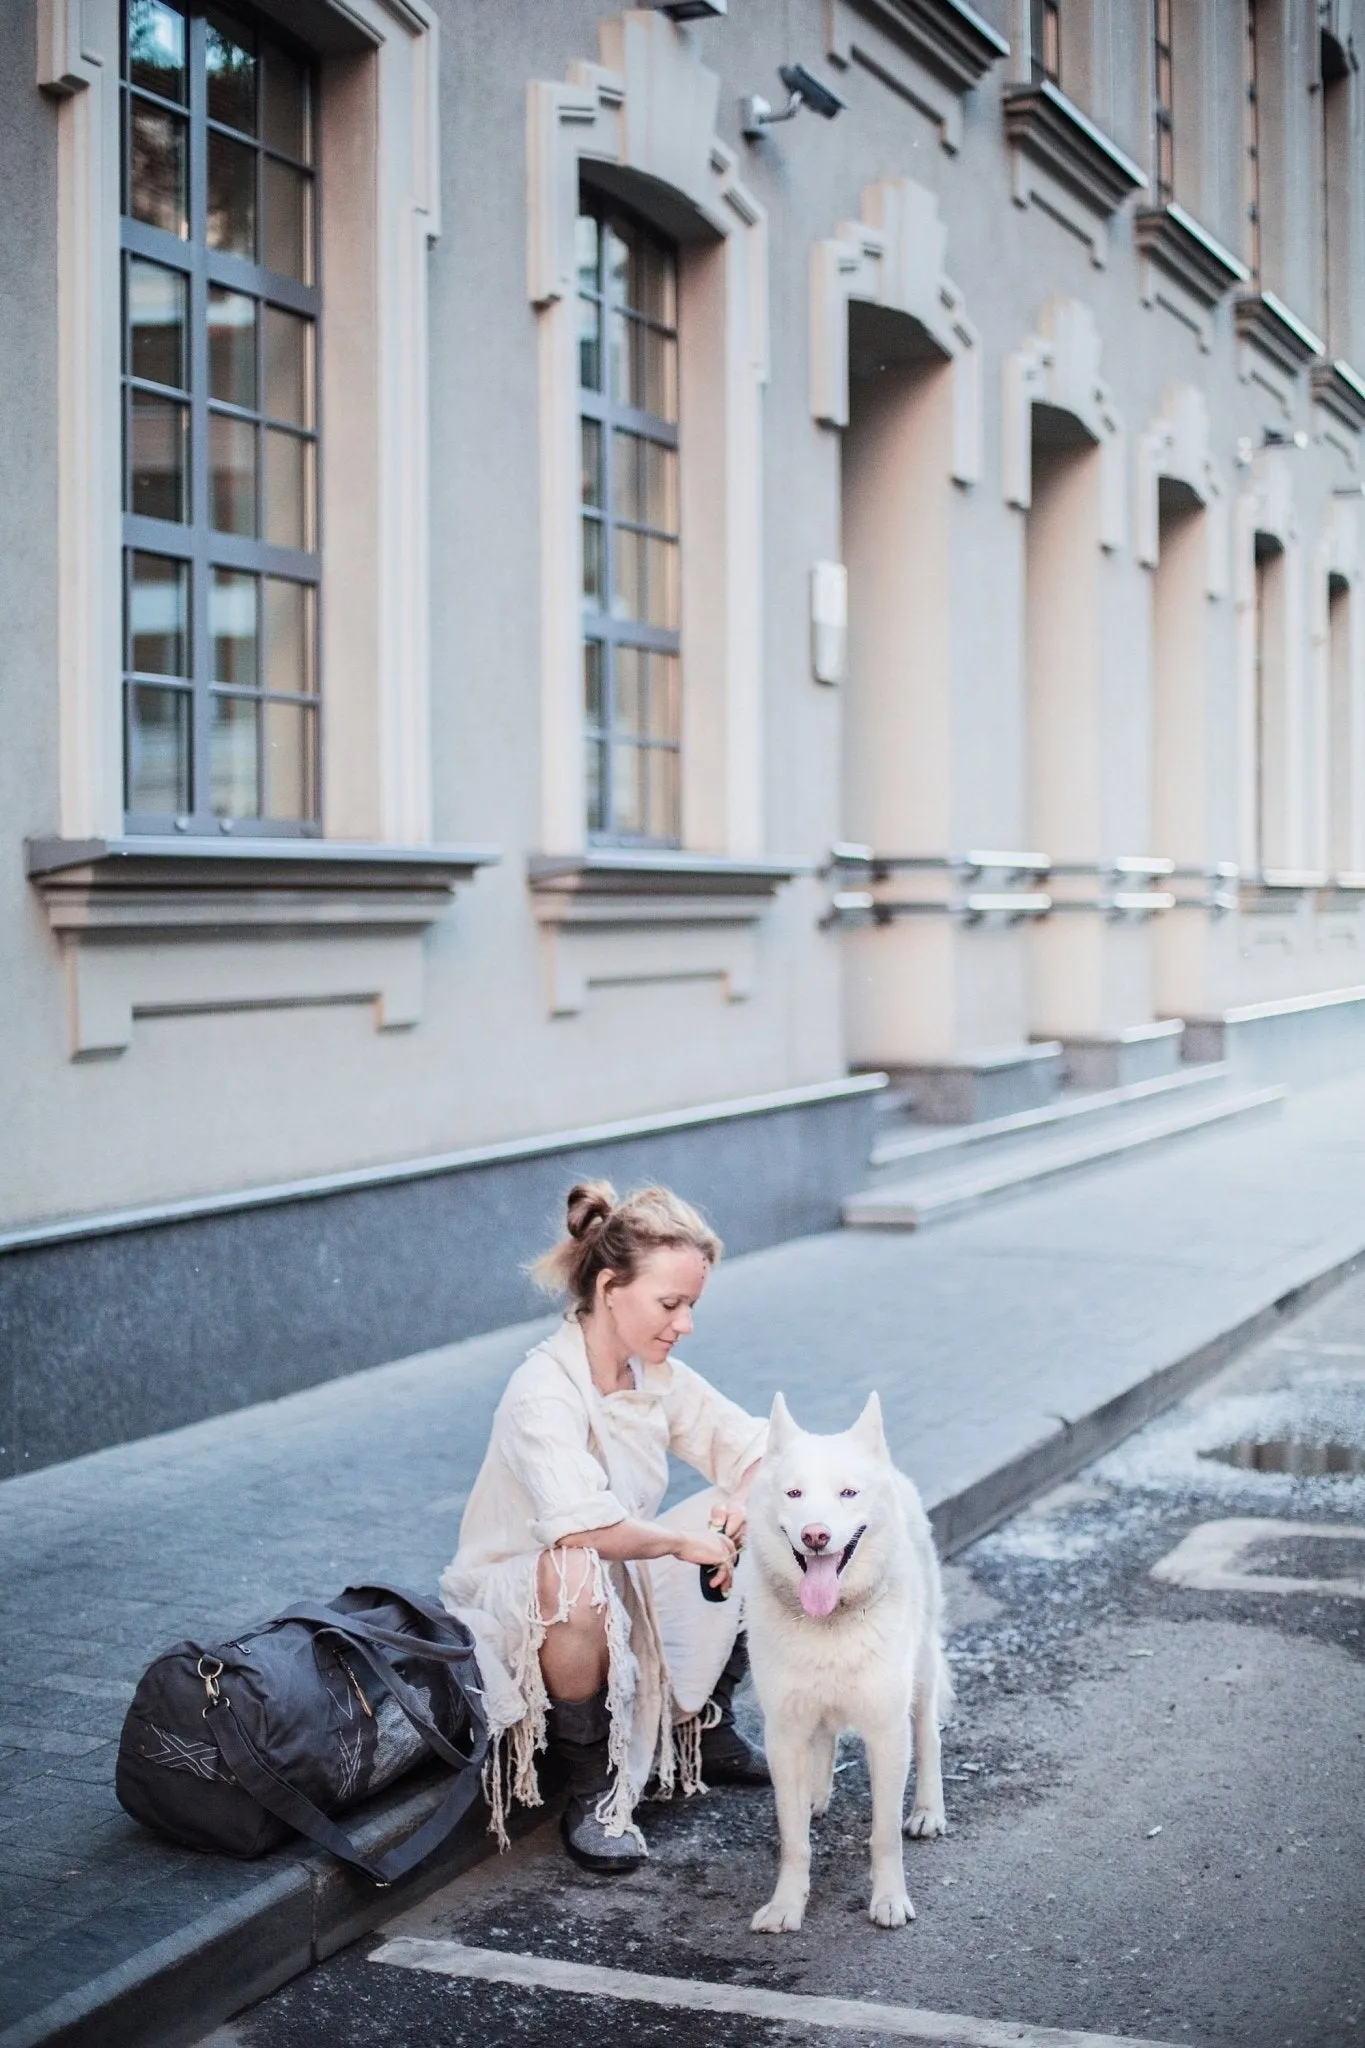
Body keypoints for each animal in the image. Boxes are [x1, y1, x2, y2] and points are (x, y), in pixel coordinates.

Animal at [736, 1392, 949, 1933]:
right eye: (794, 1493)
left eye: (848, 1493)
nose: (816, 1535)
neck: (829, 1622)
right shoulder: (784, 1733)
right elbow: (793, 1841)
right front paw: (787, 1905)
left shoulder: (887, 1733)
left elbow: (884, 1835)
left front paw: (890, 1900)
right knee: (825, 1740)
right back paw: (816, 1794)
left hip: (921, 1674)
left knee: (929, 1737)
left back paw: (929, 1810)